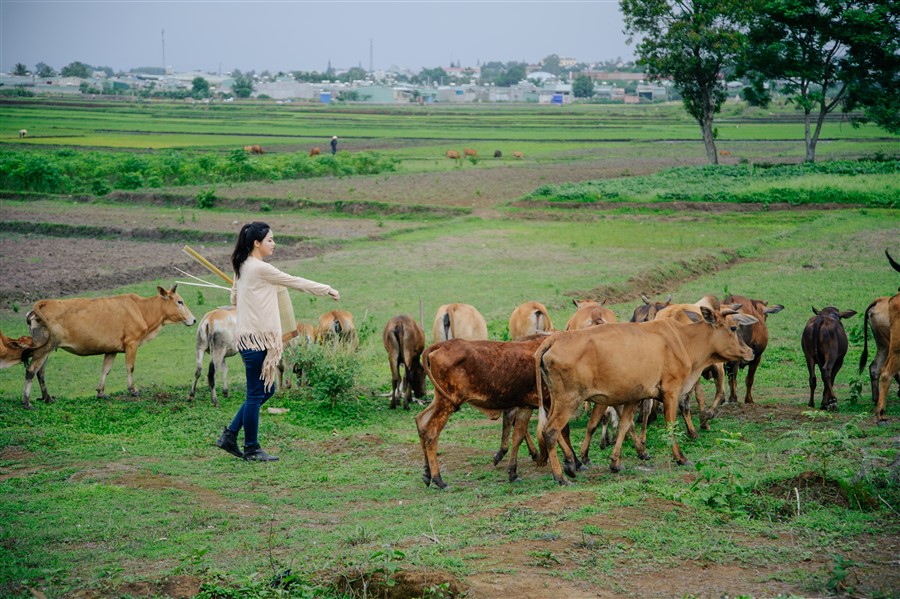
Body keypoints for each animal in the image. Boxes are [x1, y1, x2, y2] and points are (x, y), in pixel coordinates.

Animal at [22, 284, 196, 408]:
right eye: (180, 301)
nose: (193, 319)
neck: (142, 309)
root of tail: (42, 304)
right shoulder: (131, 343)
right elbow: (130, 367)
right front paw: (133, 390)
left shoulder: (111, 349)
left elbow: (106, 369)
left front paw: (101, 392)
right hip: (43, 348)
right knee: (31, 370)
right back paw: (27, 402)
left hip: (47, 349)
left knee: (40, 372)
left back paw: (47, 398)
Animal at [414, 336, 576, 490]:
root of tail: (441, 345)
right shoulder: (551, 402)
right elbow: (558, 432)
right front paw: (571, 462)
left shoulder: (526, 406)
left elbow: (518, 436)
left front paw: (513, 473)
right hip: (447, 403)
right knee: (431, 433)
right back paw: (439, 480)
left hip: (441, 400)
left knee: (421, 422)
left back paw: (427, 474)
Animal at [536, 308, 756, 486]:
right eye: (734, 328)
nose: (751, 352)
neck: (684, 340)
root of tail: (554, 339)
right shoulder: (671, 391)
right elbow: (670, 425)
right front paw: (681, 457)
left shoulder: (634, 396)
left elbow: (626, 425)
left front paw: (616, 462)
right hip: (569, 399)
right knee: (551, 431)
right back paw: (561, 476)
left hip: (555, 400)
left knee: (555, 430)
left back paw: (571, 464)